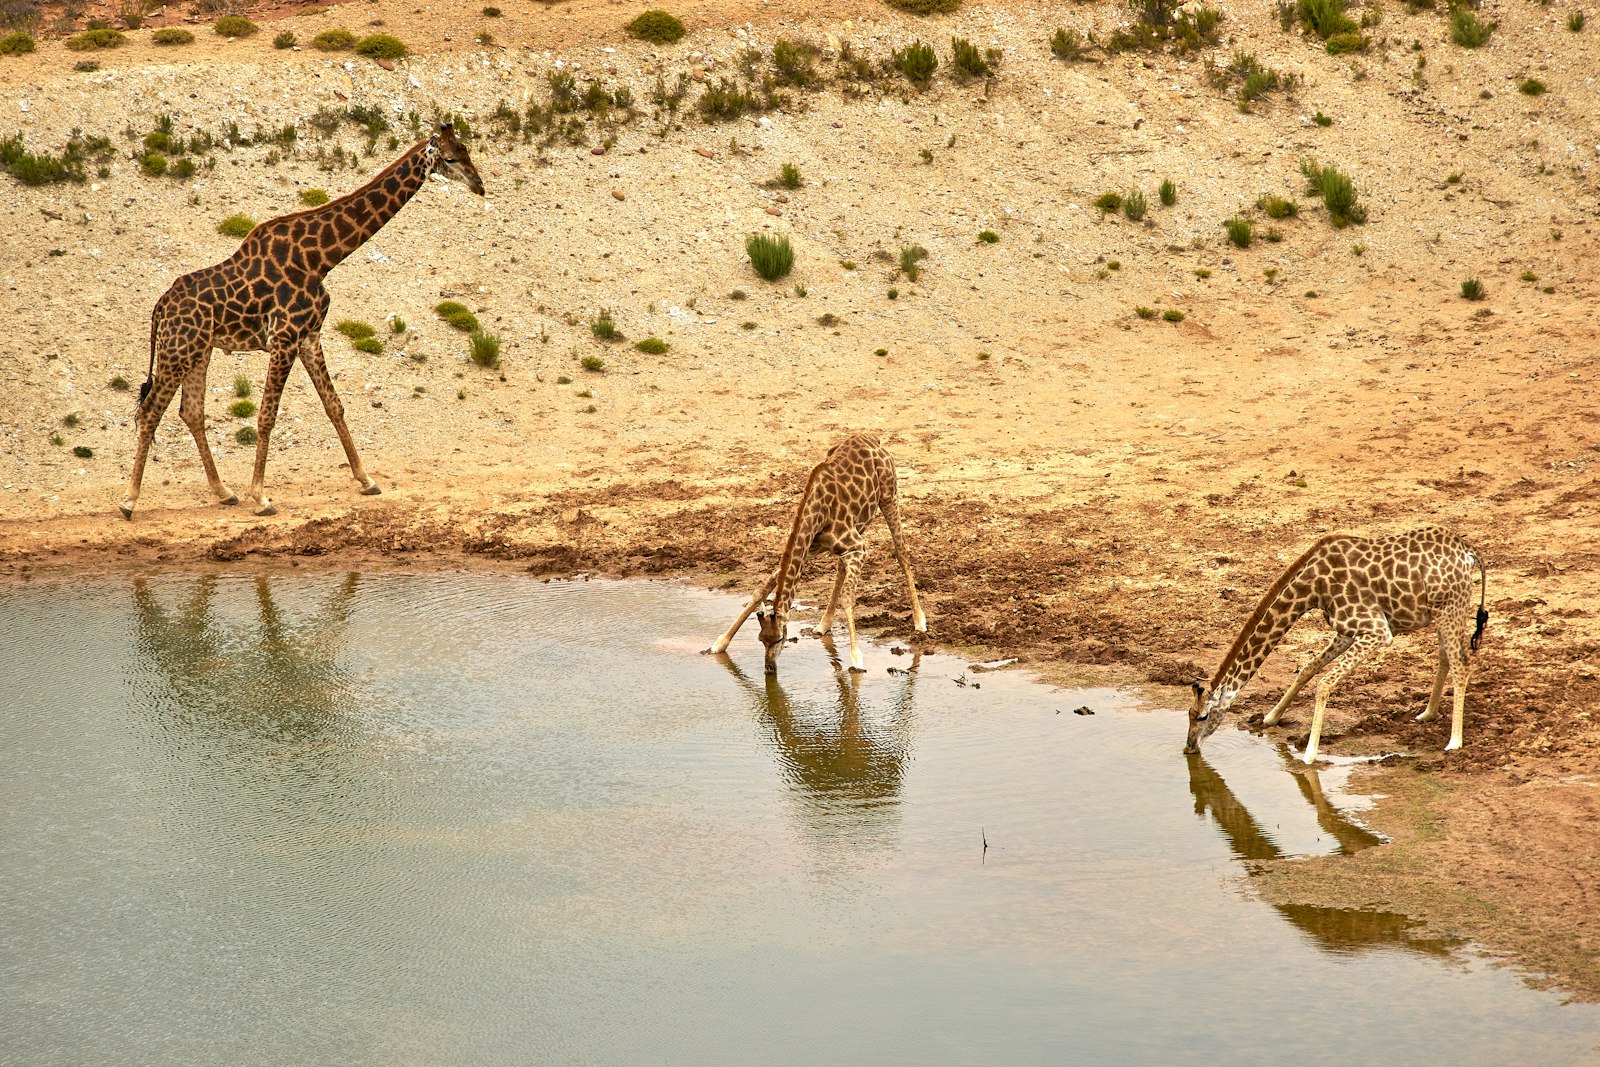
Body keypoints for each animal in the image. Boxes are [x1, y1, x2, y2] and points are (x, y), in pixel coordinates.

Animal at [118, 123, 483, 518]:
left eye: (467, 150)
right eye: (450, 158)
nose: (480, 184)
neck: (321, 258)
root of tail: (160, 307)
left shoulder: (310, 336)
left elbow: (334, 405)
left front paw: (366, 479)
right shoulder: (284, 337)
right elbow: (266, 415)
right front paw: (261, 497)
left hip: (200, 350)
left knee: (191, 412)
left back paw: (223, 491)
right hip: (178, 350)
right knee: (150, 412)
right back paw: (130, 500)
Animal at [710, 435, 934, 675]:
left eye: (780, 639)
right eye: (761, 639)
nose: (769, 668)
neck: (817, 513)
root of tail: (872, 439)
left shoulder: (859, 547)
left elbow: (848, 598)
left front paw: (856, 659)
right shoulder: (812, 547)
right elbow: (762, 589)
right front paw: (720, 643)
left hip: (889, 496)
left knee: (901, 551)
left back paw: (919, 622)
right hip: (859, 522)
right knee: (842, 566)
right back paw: (823, 624)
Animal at [1184, 524, 1491, 758]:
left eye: (1202, 716)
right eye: (1188, 713)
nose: (1189, 747)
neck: (1312, 587)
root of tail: (1469, 552)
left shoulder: (1376, 630)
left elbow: (1324, 683)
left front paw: (1309, 754)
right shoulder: (1345, 631)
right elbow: (1308, 669)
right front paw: (1271, 717)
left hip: (1451, 607)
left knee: (1462, 663)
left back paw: (1454, 741)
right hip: (1442, 611)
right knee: (1445, 657)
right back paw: (1427, 714)